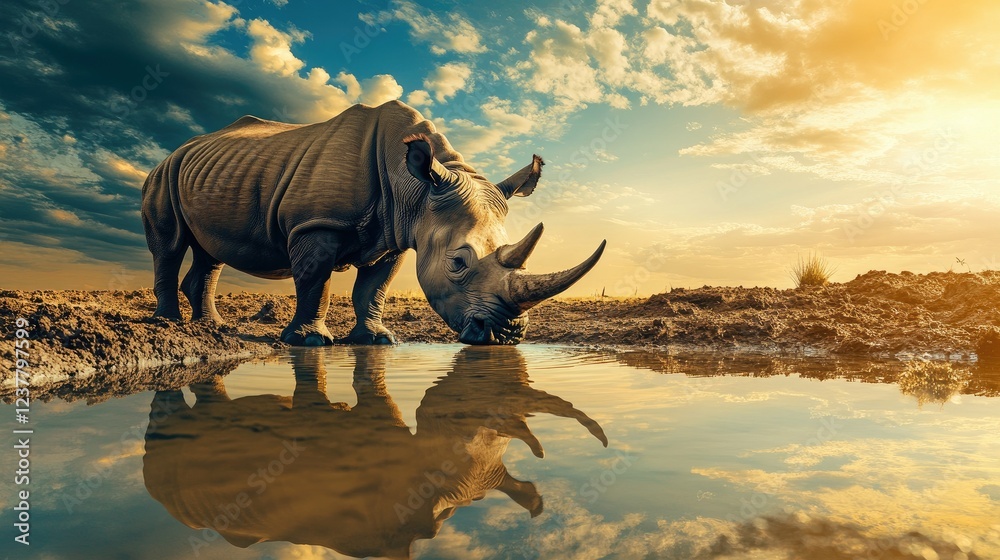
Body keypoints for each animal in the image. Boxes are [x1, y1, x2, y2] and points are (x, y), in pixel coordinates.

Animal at [141, 100, 606, 345]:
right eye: (457, 263)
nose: (507, 334)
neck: (416, 189)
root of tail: (175, 153)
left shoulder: (397, 234)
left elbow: (373, 289)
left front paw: (377, 339)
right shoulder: (317, 223)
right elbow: (316, 281)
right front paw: (310, 341)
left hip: (209, 174)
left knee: (210, 253)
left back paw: (212, 327)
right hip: (163, 174)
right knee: (169, 245)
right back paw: (169, 323)